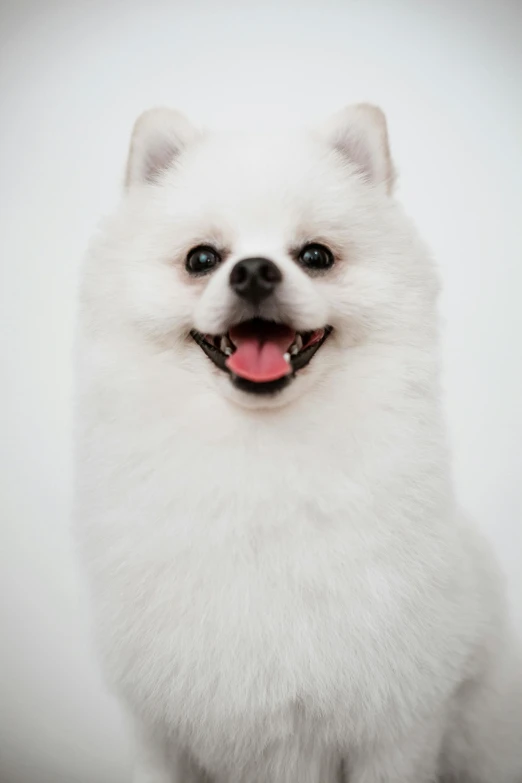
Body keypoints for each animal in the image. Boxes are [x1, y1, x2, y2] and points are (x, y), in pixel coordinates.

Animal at [75, 105, 520, 783]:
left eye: (315, 255)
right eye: (202, 258)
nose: (255, 270)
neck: (262, 459)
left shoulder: (396, 722)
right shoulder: (164, 729)